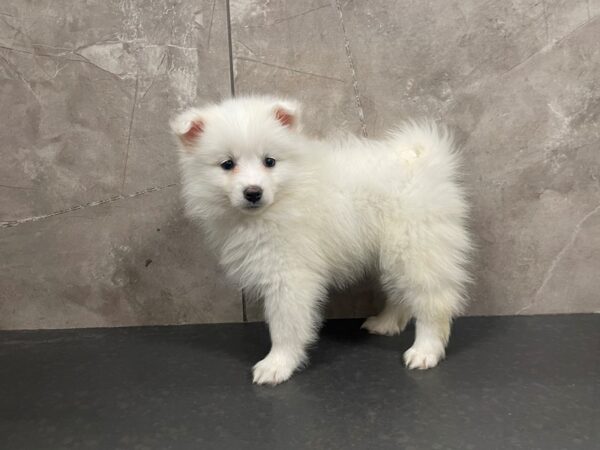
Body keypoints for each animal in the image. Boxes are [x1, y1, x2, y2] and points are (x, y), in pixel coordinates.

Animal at [170, 96, 474, 384]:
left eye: (270, 161)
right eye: (227, 164)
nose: (253, 192)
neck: (283, 197)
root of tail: (421, 159)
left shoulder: (289, 274)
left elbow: (284, 325)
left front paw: (277, 364)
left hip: (416, 247)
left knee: (432, 300)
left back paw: (425, 350)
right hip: (391, 254)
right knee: (401, 293)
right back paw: (386, 323)